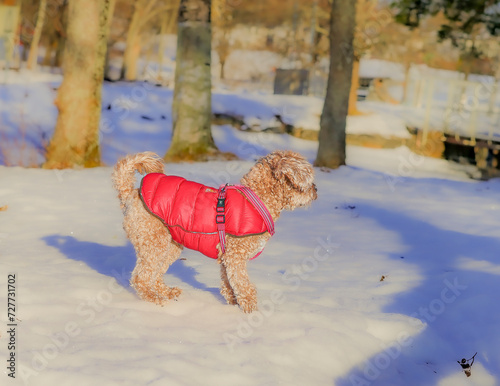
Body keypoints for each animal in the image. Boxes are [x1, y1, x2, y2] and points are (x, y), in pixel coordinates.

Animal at [112, 149, 318, 312]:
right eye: (308, 179)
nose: (316, 191)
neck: (258, 199)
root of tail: (129, 195)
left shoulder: (226, 257)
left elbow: (228, 284)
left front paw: (233, 304)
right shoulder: (235, 257)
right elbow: (244, 286)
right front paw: (250, 310)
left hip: (171, 245)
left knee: (155, 275)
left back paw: (167, 292)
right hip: (155, 242)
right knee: (140, 277)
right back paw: (155, 299)